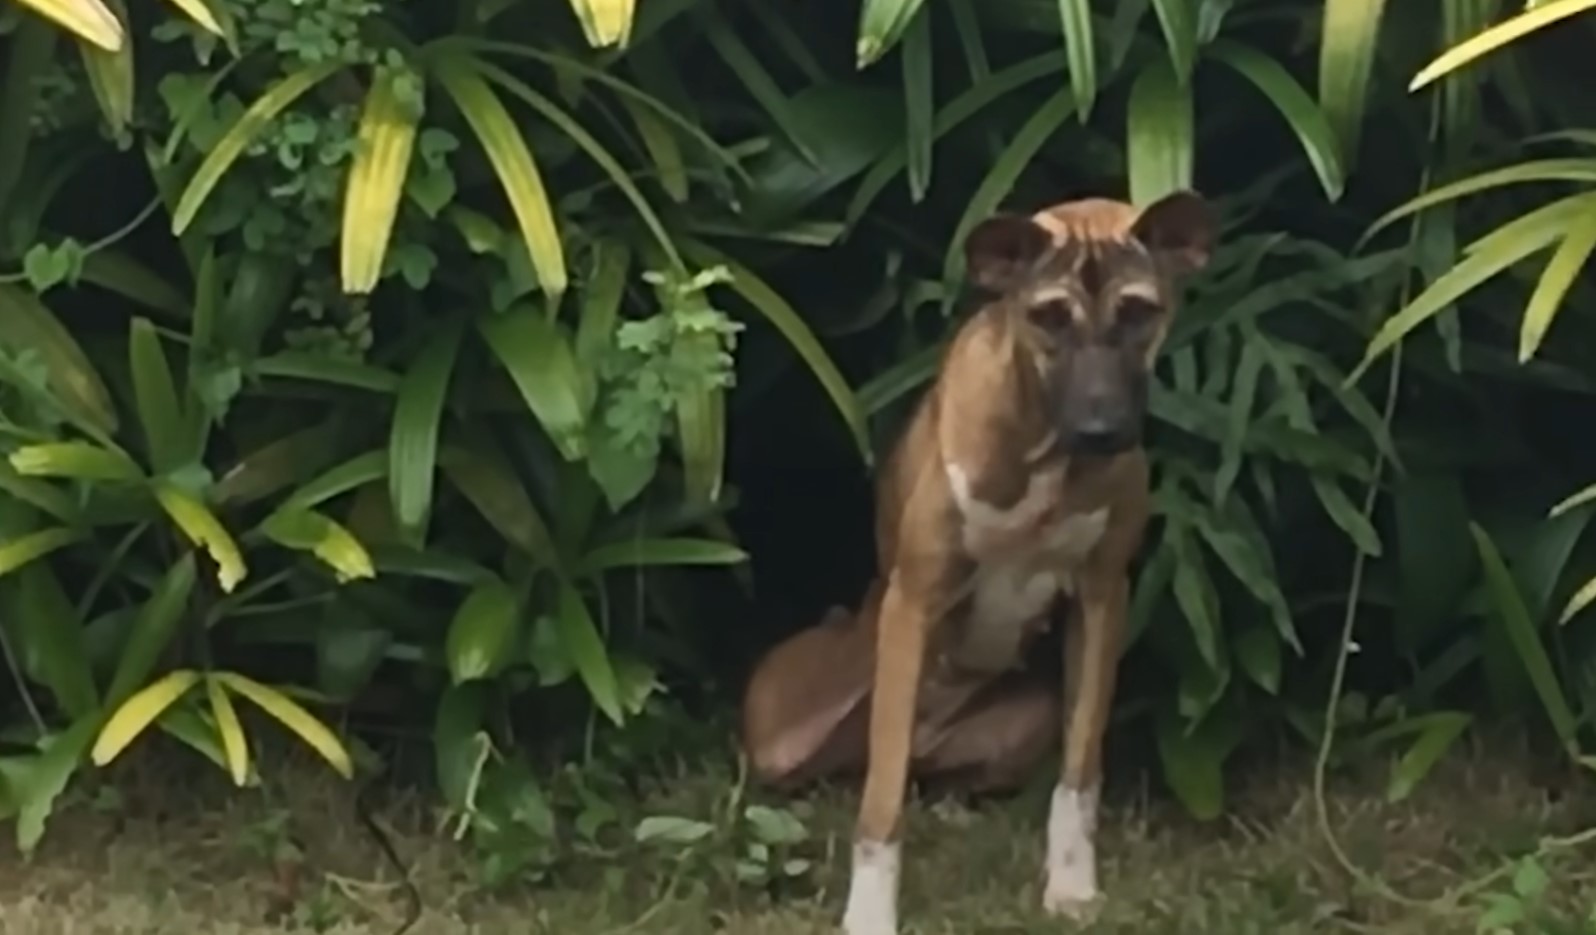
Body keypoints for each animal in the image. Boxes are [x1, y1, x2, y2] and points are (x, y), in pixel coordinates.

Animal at [734, 191, 1206, 931]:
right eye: (1048, 316)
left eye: (1139, 311)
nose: (1100, 430)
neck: (1047, 457)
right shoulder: (915, 600)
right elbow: (880, 809)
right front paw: (869, 915)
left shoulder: (1103, 596)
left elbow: (1080, 772)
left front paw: (1070, 886)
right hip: (784, 722)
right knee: (868, 772)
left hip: (1026, 719)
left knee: (936, 778)